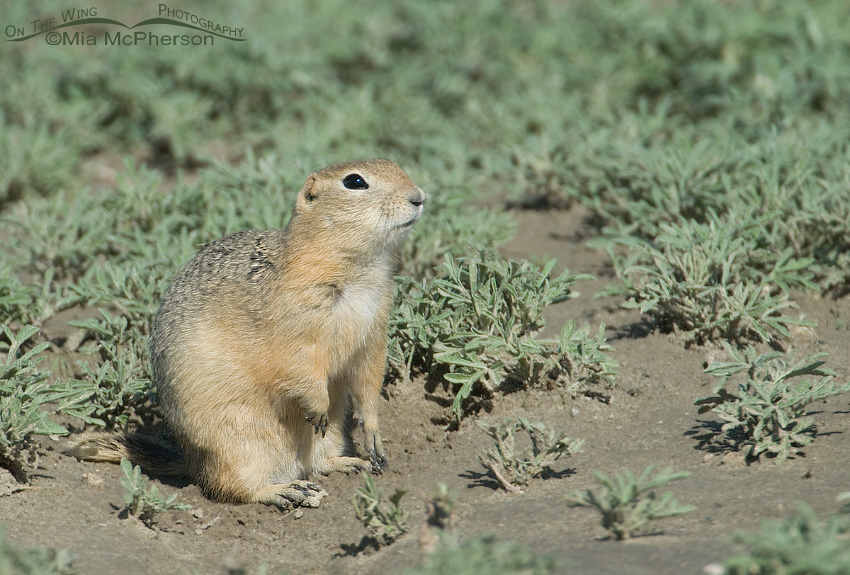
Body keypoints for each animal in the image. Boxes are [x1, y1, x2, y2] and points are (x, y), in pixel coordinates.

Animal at [69, 159, 424, 508]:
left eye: (395, 164)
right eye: (355, 182)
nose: (419, 196)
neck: (358, 272)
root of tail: (192, 461)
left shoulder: (374, 331)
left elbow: (368, 381)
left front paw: (374, 438)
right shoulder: (294, 327)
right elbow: (300, 368)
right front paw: (318, 406)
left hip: (329, 437)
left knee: (318, 462)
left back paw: (348, 463)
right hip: (240, 449)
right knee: (234, 488)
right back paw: (286, 490)